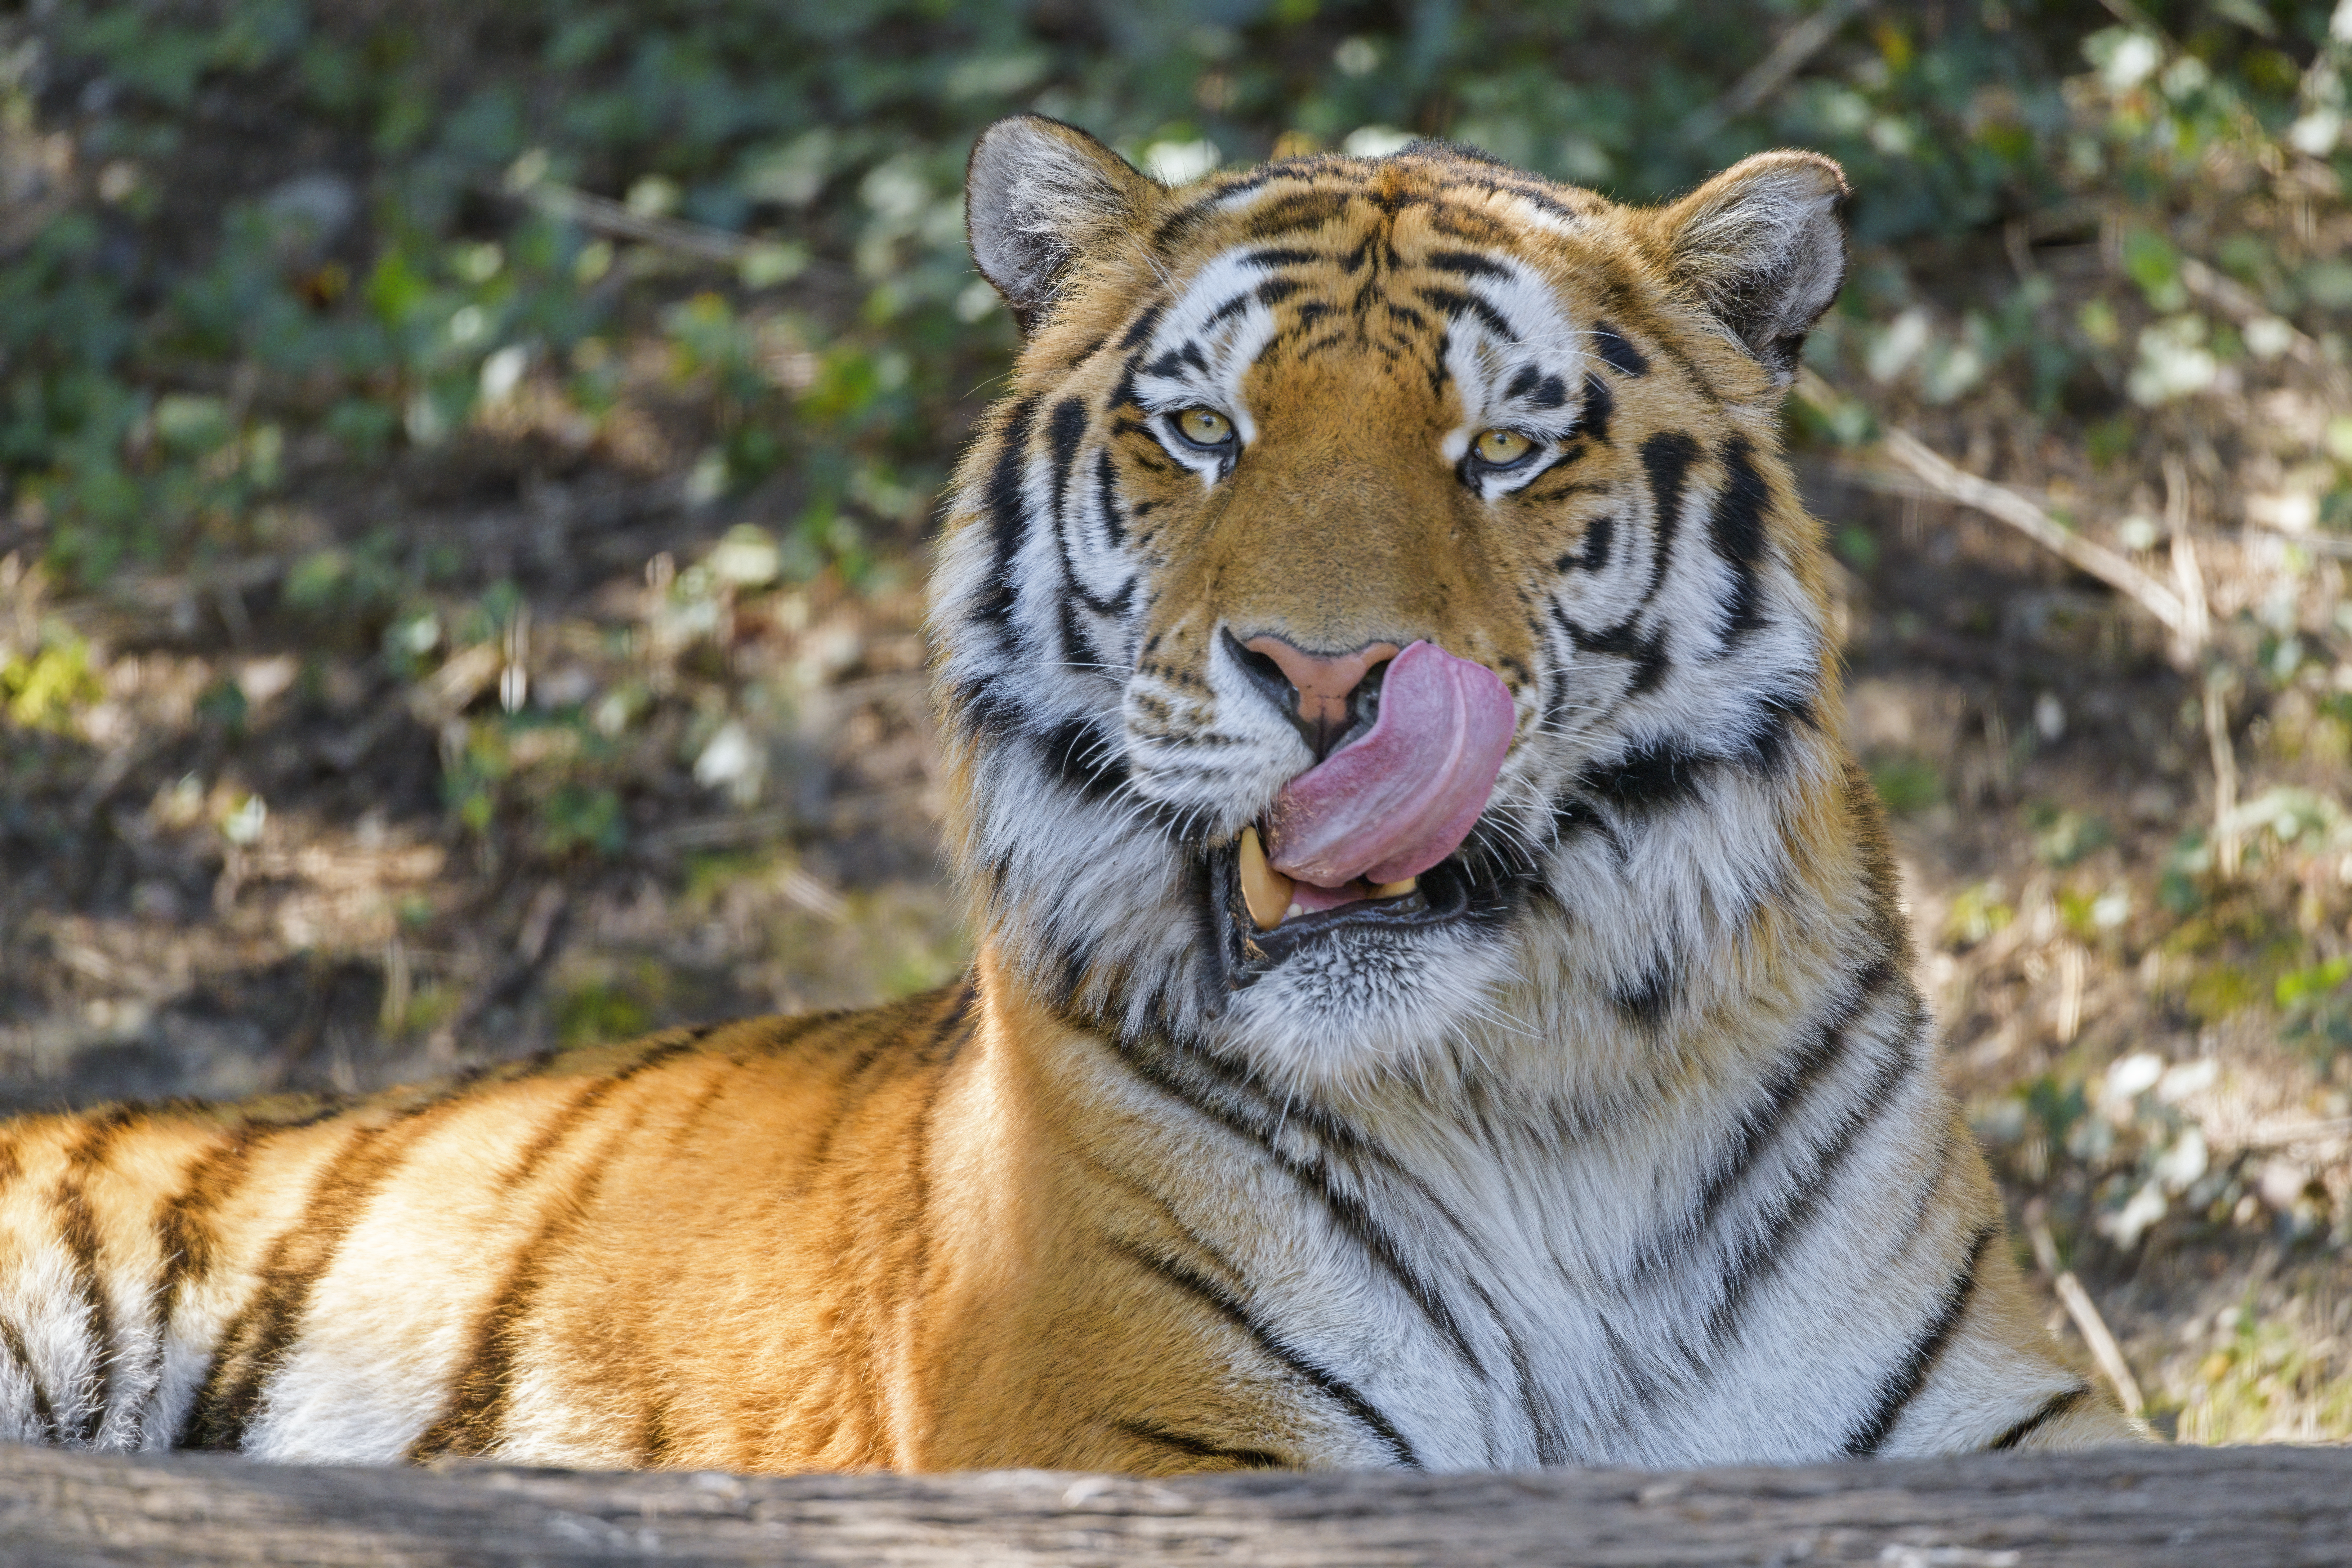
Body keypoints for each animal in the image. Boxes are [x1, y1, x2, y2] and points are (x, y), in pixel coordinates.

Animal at [0, 116, 2136, 1476]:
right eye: (1199, 427)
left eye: (1504, 447)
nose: (1332, 684)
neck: (1536, 1097)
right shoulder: (1141, 1433)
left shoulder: (2001, 1420)